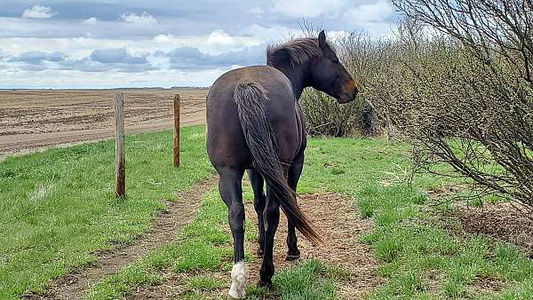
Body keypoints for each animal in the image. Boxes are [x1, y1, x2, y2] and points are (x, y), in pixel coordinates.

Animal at [206, 30, 356, 298]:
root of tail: (245, 87)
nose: (354, 90)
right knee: (274, 211)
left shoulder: (254, 169)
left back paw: (238, 280)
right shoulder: (295, 165)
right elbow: (290, 202)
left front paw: (260, 244)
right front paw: (292, 249)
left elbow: (257, 203)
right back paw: (266, 275)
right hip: (282, 166)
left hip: (228, 173)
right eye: (334, 60)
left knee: (236, 213)